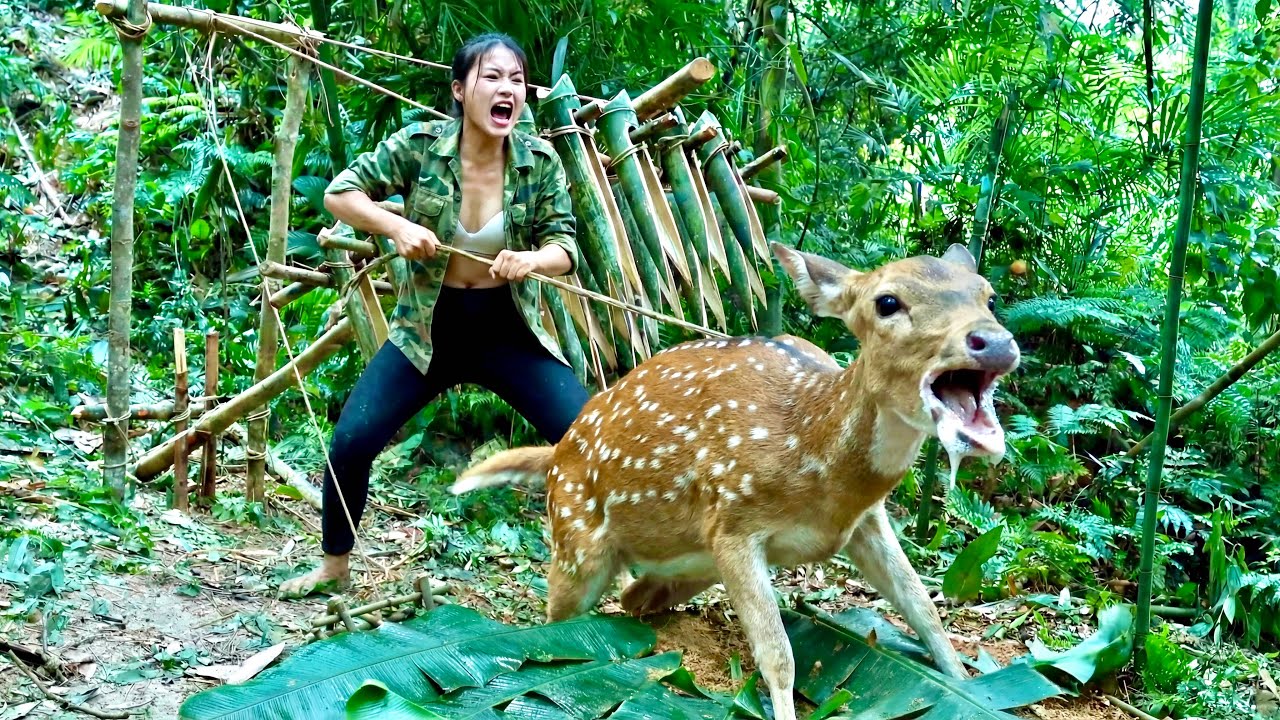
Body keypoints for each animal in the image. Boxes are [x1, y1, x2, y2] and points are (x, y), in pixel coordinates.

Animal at [451, 242, 1020, 719]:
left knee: (633, 597)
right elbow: (778, 656)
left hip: (688, 563)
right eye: (887, 302)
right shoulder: (732, 521)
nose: (994, 343)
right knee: (558, 621)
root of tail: (556, 453)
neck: (815, 461)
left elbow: (926, 613)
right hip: (576, 538)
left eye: (988, 295)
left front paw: (968, 689)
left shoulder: (867, 521)